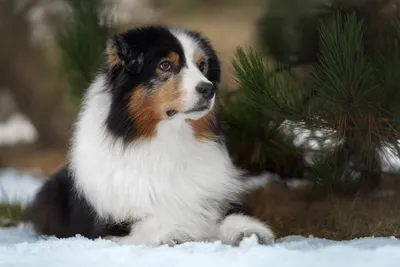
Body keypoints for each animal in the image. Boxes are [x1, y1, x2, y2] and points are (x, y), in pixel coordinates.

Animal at [24, 25, 276, 247]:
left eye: (202, 65)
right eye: (165, 65)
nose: (208, 89)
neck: (169, 138)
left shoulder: (216, 196)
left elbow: (228, 215)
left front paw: (249, 230)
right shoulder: (113, 225)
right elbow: (152, 221)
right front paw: (176, 231)